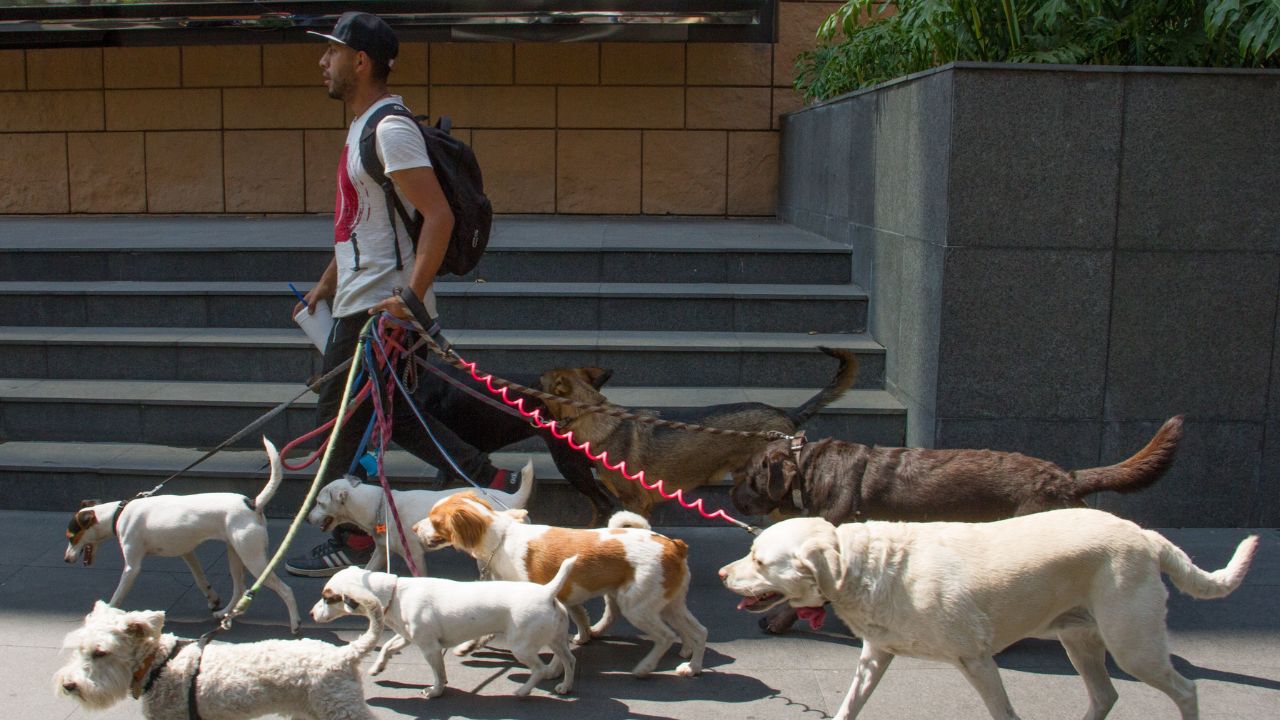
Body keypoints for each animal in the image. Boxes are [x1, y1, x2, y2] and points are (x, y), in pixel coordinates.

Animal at [66, 435, 303, 630]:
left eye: (71, 537)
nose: (66, 560)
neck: (119, 513)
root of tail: (253, 503)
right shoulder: (187, 552)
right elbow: (200, 579)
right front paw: (212, 598)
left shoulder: (132, 567)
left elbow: (117, 595)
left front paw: (106, 613)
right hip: (236, 554)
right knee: (239, 588)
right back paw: (225, 612)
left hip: (253, 558)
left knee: (286, 590)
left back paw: (295, 623)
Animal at [302, 456, 532, 573]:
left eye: (319, 503)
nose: (306, 518)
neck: (381, 506)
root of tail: (513, 500)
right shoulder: (382, 551)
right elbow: (369, 569)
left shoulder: (414, 555)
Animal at [417, 489, 701, 676]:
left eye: (435, 521)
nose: (413, 528)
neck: (502, 539)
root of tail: (674, 545)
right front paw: (469, 645)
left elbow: (556, 644)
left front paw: (554, 669)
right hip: (669, 604)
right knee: (698, 631)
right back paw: (691, 665)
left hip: (638, 606)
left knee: (666, 636)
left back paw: (646, 667)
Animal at [721, 507, 1259, 712]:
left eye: (759, 559)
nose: (724, 574)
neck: (865, 565)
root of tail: (1144, 534)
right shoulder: (875, 655)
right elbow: (849, 706)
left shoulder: (976, 660)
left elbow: (1004, 712)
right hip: (1079, 639)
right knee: (1106, 695)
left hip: (1133, 645)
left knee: (1186, 689)